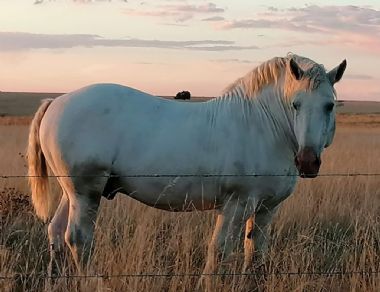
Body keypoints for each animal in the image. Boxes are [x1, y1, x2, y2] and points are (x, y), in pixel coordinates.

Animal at [27, 54, 348, 280]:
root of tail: (56, 101)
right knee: (78, 240)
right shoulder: (237, 204)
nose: (307, 161)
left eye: (329, 105)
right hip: (86, 194)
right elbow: (220, 250)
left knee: (56, 233)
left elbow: (254, 251)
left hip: (72, 194)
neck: (263, 125)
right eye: (295, 104)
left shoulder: (267, 208)